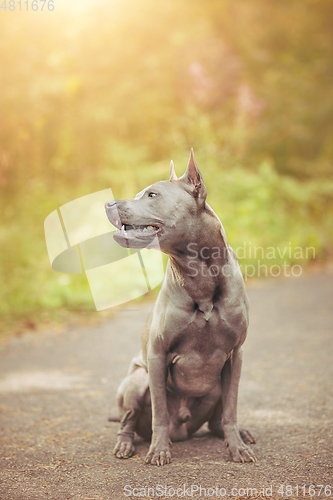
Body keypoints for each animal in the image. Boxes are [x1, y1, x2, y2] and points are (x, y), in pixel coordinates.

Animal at [105, 150, 255, 466]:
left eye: (152, 194)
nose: (107, 204)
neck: (199, 273)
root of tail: (184, 430)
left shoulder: (235, 356)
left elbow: (231, 409)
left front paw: (236, 447)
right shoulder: (157, 356)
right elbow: (160, 412)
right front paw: (159, 450)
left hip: (217, 386)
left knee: (217, 421)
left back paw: (240, 434)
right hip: (136, 380)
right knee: (128, 421)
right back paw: (125, 444)